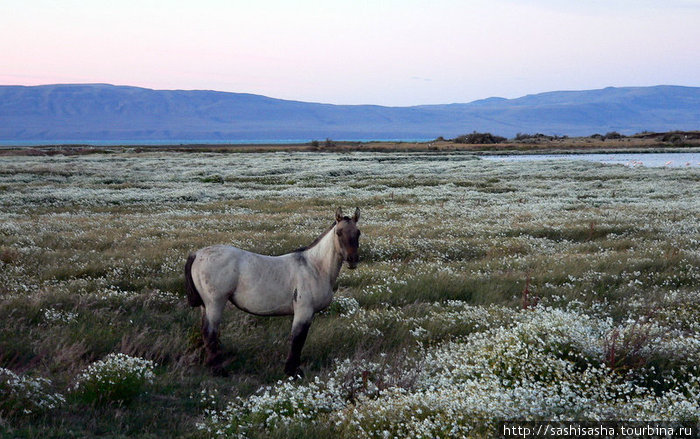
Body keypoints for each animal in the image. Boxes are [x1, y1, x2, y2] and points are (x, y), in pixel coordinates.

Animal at [185, 208, 360, 376]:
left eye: (358, 232)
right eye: (339, 233)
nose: (353, 260)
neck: (315, 267)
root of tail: (197, 254)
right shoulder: (303, 311)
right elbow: (297, 340)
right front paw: (291, 371)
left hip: (205, 306)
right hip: (214, 304)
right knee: (210, 333)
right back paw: (218, 370)